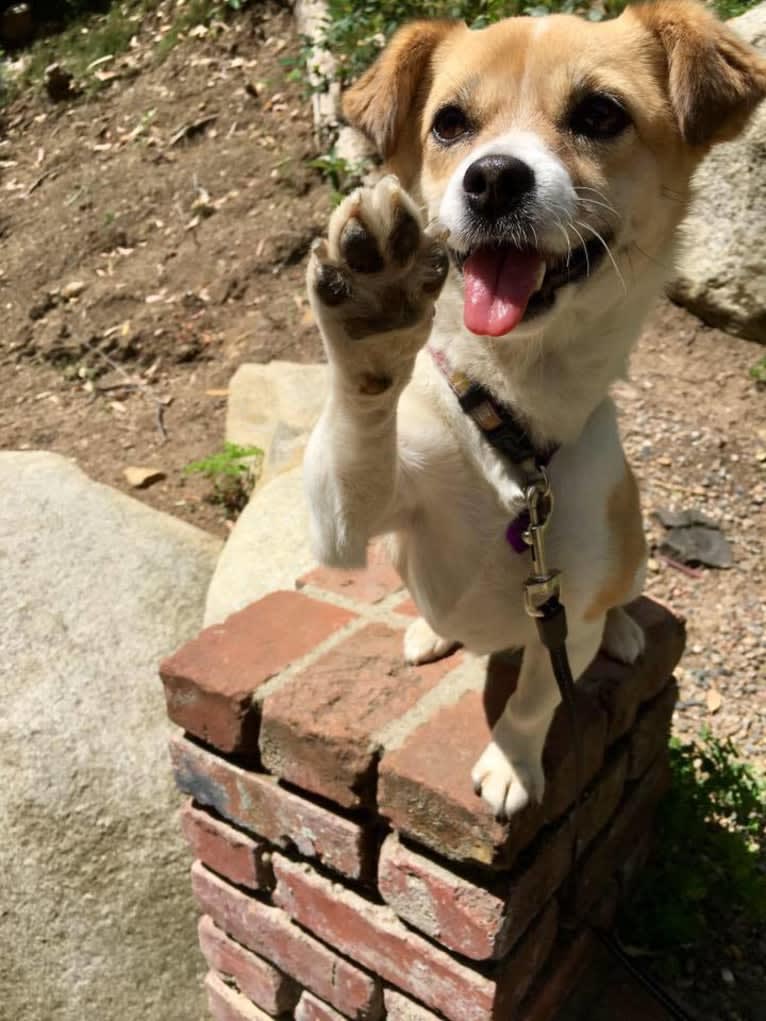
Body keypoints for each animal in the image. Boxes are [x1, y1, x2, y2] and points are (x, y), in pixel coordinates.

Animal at [302, 0, 763, 812]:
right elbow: (358, 422)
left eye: (600, 114)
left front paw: (510, 764)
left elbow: (535, 699)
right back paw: (432, 630)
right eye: (450, 123)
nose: (491, 178)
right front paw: (372, 308)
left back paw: (624, 633)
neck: (511, 418)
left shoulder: (564, 620)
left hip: (633, 559)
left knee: (622, 600)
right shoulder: (348, 523)